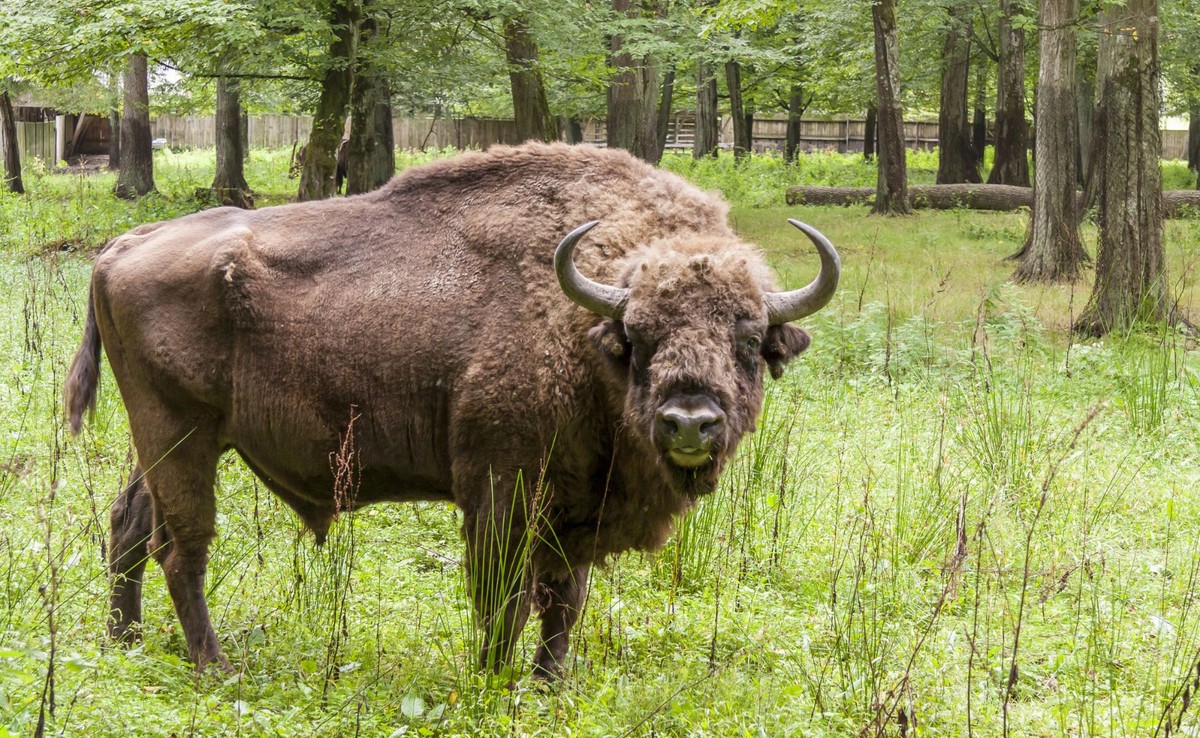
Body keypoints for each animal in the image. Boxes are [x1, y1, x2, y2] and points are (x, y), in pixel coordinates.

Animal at [63, 142, 835, 681]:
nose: (689, 424)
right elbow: (505, 599)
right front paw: (490, 681)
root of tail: (123, 245)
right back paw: (215, 667)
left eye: (747, 339)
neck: (580, 324)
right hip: (180, 435)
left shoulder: (575, 510)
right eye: (637, 336)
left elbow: (565, 600)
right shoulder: (499, 492)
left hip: (175, 440)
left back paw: (125, 644)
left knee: (128, 524)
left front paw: (549, 687)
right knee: (181, 548)